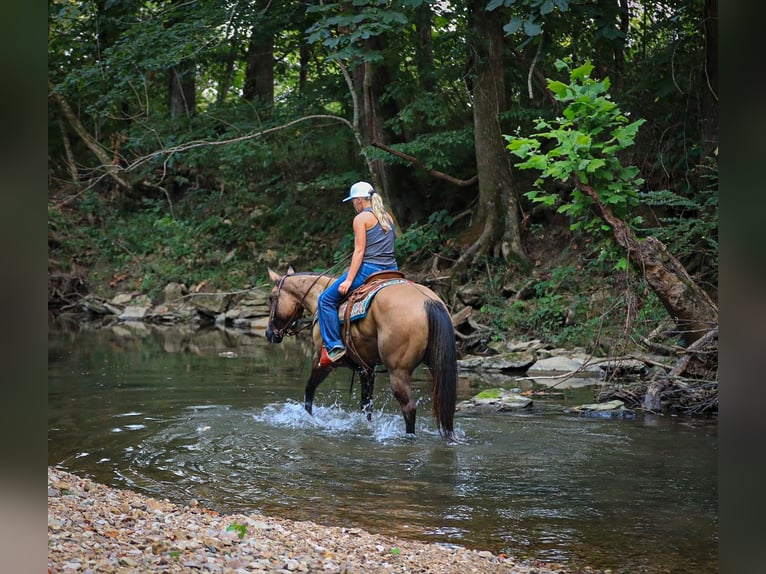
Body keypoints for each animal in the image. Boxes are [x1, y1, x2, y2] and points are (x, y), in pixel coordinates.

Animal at [265, 267, 457, 439]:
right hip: (436, 365)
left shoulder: (321, 361)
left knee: (409, 407)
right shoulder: (366, 368)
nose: (269, 333)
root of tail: (428, 301)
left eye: (271, 297)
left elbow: (309, 390)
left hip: (398, 372)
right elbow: (366, 405)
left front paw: (309, 419)